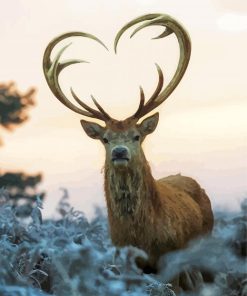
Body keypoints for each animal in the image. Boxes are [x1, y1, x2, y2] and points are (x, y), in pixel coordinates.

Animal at [43, 13, 214, 290]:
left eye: (137, 135)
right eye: (105, 139)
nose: (120, 152)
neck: (142, 239)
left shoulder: (171, 260)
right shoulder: (123, 262)